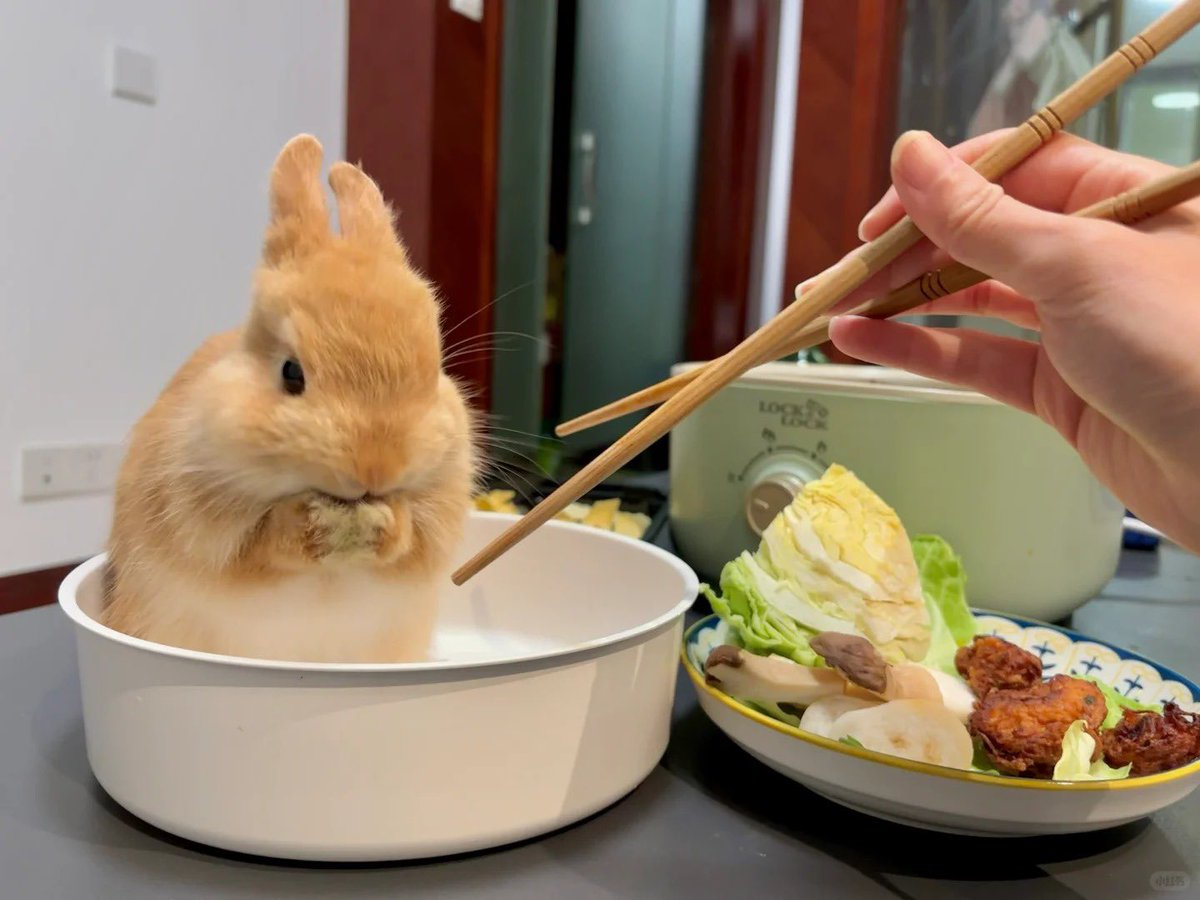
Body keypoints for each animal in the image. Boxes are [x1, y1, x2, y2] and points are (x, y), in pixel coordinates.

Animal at [101, 134, 477, 663]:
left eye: (432, 367)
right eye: (291, 372)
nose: (376, 469)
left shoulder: (436, 513)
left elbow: (412, 542)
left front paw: (386, 525)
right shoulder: (207, 523)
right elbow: (259, 544)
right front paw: (312, 527)